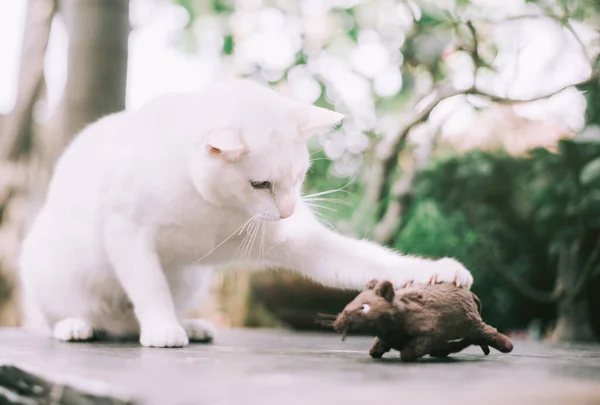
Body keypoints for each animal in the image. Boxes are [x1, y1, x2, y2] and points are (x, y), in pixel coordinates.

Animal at [17, 79, 474, 348]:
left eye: (299, 176)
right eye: (260, 184)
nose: (288, 211)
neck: (208, 205)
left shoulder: (300, 240)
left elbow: (372, 261)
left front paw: (440, 270)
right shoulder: (126, 231)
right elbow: (149, 287)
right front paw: (162, 326)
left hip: (191, 280)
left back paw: (189, 324)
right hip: (52, 267)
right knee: (61, 314)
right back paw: (77, 325)